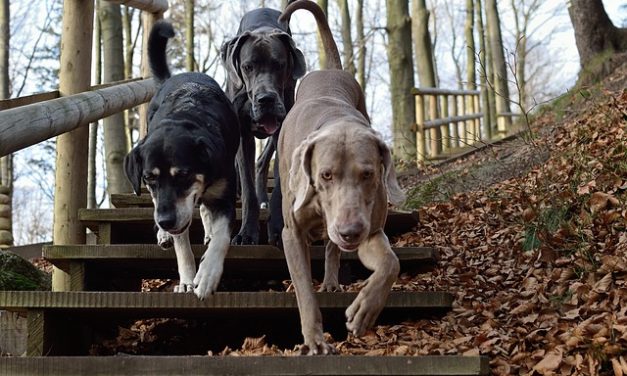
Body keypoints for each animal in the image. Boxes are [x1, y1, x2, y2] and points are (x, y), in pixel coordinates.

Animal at [124, 20, 239, 298]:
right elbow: (182, 246)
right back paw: (164, 236)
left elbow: (222, 237)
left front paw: (207, 276)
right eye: (148, 178)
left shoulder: (224, 195)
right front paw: (187, 279)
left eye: (184, 175)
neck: (187, 114)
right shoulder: (173, 208)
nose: (165, 221)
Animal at [222, 7, 308, 245]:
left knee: (261, 162)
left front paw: (278, 229)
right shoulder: (243, 134)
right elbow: (248, 188)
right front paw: (246, 233)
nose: (266, 99)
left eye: (279, 65)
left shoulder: (282, 131)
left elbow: (279, 186)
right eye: (247, 67)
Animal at [280, 0, 408, 354]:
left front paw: (364, 309)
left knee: (332, 249)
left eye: (368, 174)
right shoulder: (291, 233)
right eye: (326, 175)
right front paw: (314, 339)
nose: (349, 231)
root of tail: (331, 69)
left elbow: (390, 263)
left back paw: (332, 281)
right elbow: (303, 289)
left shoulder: (371, 230)